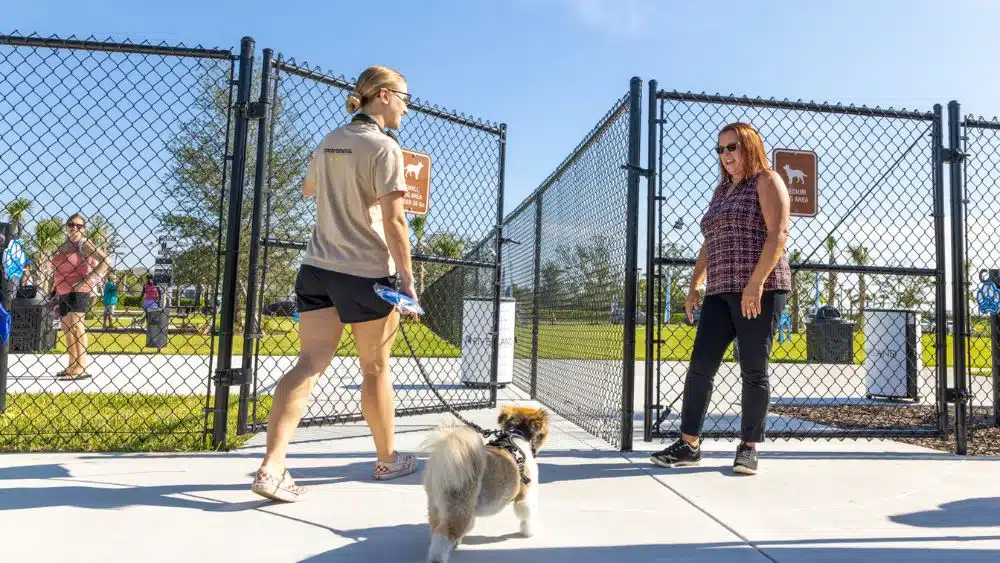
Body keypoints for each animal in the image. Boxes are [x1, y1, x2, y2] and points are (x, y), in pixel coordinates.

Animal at [420, 408, 552, 560]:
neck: (516, 435)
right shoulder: (524, 496)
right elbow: (528, 514)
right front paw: (530, 531)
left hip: (436, 506)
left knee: (435, 529)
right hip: (458, 508)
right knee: (444, 535)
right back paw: (438, 557)